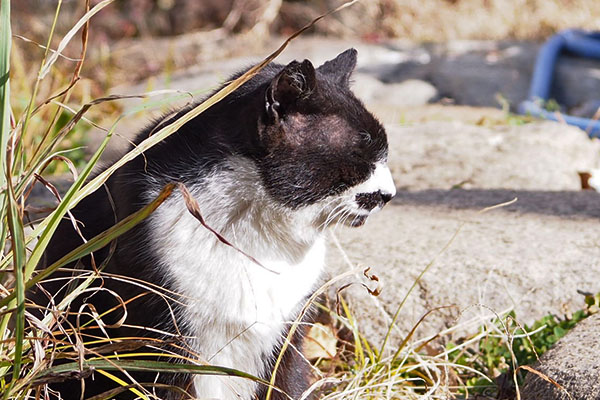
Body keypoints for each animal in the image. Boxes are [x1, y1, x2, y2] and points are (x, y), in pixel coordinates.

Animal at [36, 48, 394, 398]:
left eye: (384, 154)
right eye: (360, 156)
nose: (390, 194)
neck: (263, 240)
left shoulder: (288, 339)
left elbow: (287, 384)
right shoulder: (163, 342)